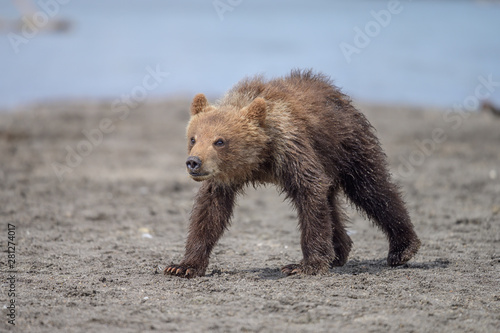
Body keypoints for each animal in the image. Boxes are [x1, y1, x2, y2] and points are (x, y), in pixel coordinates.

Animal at [166, 68, 420, 276]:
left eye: (219, 141)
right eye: (193, 138)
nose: (194, 162)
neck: (259, 159)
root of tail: (336, 93)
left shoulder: (290, 147)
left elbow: (309, 190)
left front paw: (304, 265)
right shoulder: (223, 177)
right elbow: (209, 211)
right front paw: (183, 266)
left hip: (348, 144)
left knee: (371, 189)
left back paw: (402, 248)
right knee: (331, 200)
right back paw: (339, 252)